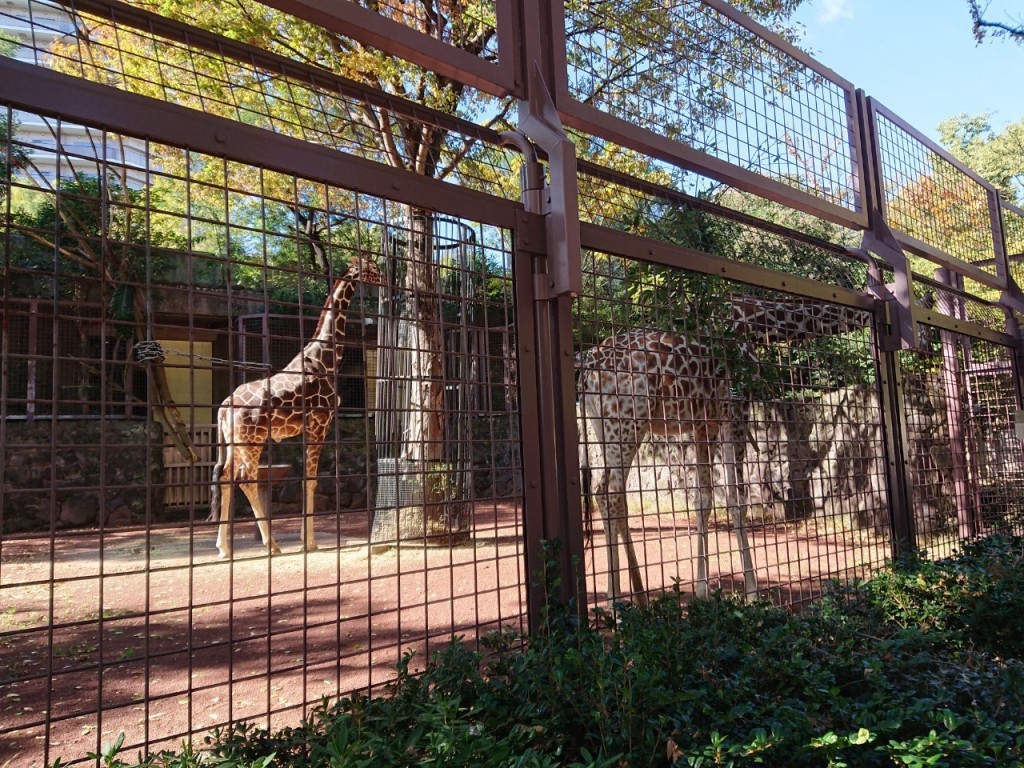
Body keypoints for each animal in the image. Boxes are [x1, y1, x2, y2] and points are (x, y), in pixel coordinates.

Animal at [210, 259, 385, 561]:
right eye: (372, 268)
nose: (385, 278)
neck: (325, 359)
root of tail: (223, 408)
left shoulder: (308, 428)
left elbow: (306, 479)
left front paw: (306, 537)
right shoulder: (321, 423)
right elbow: (311, 481)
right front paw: (310, 541)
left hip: (234, 442)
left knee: (225, 477)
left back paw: (224, 547)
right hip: (252, 441)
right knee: (246, 480)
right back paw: (272, 544)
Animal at [577, 296, 864, 606]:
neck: (756, 322)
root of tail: (586, 374)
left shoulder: (705, 424)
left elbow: (703, 499)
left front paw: (702, 590)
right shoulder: (735, 407)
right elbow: (736, 498)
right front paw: (752, 591)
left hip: (604, 427)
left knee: (603, 491)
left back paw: (625, 595)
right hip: (630, 420)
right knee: (612, 491)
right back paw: (626, 598)